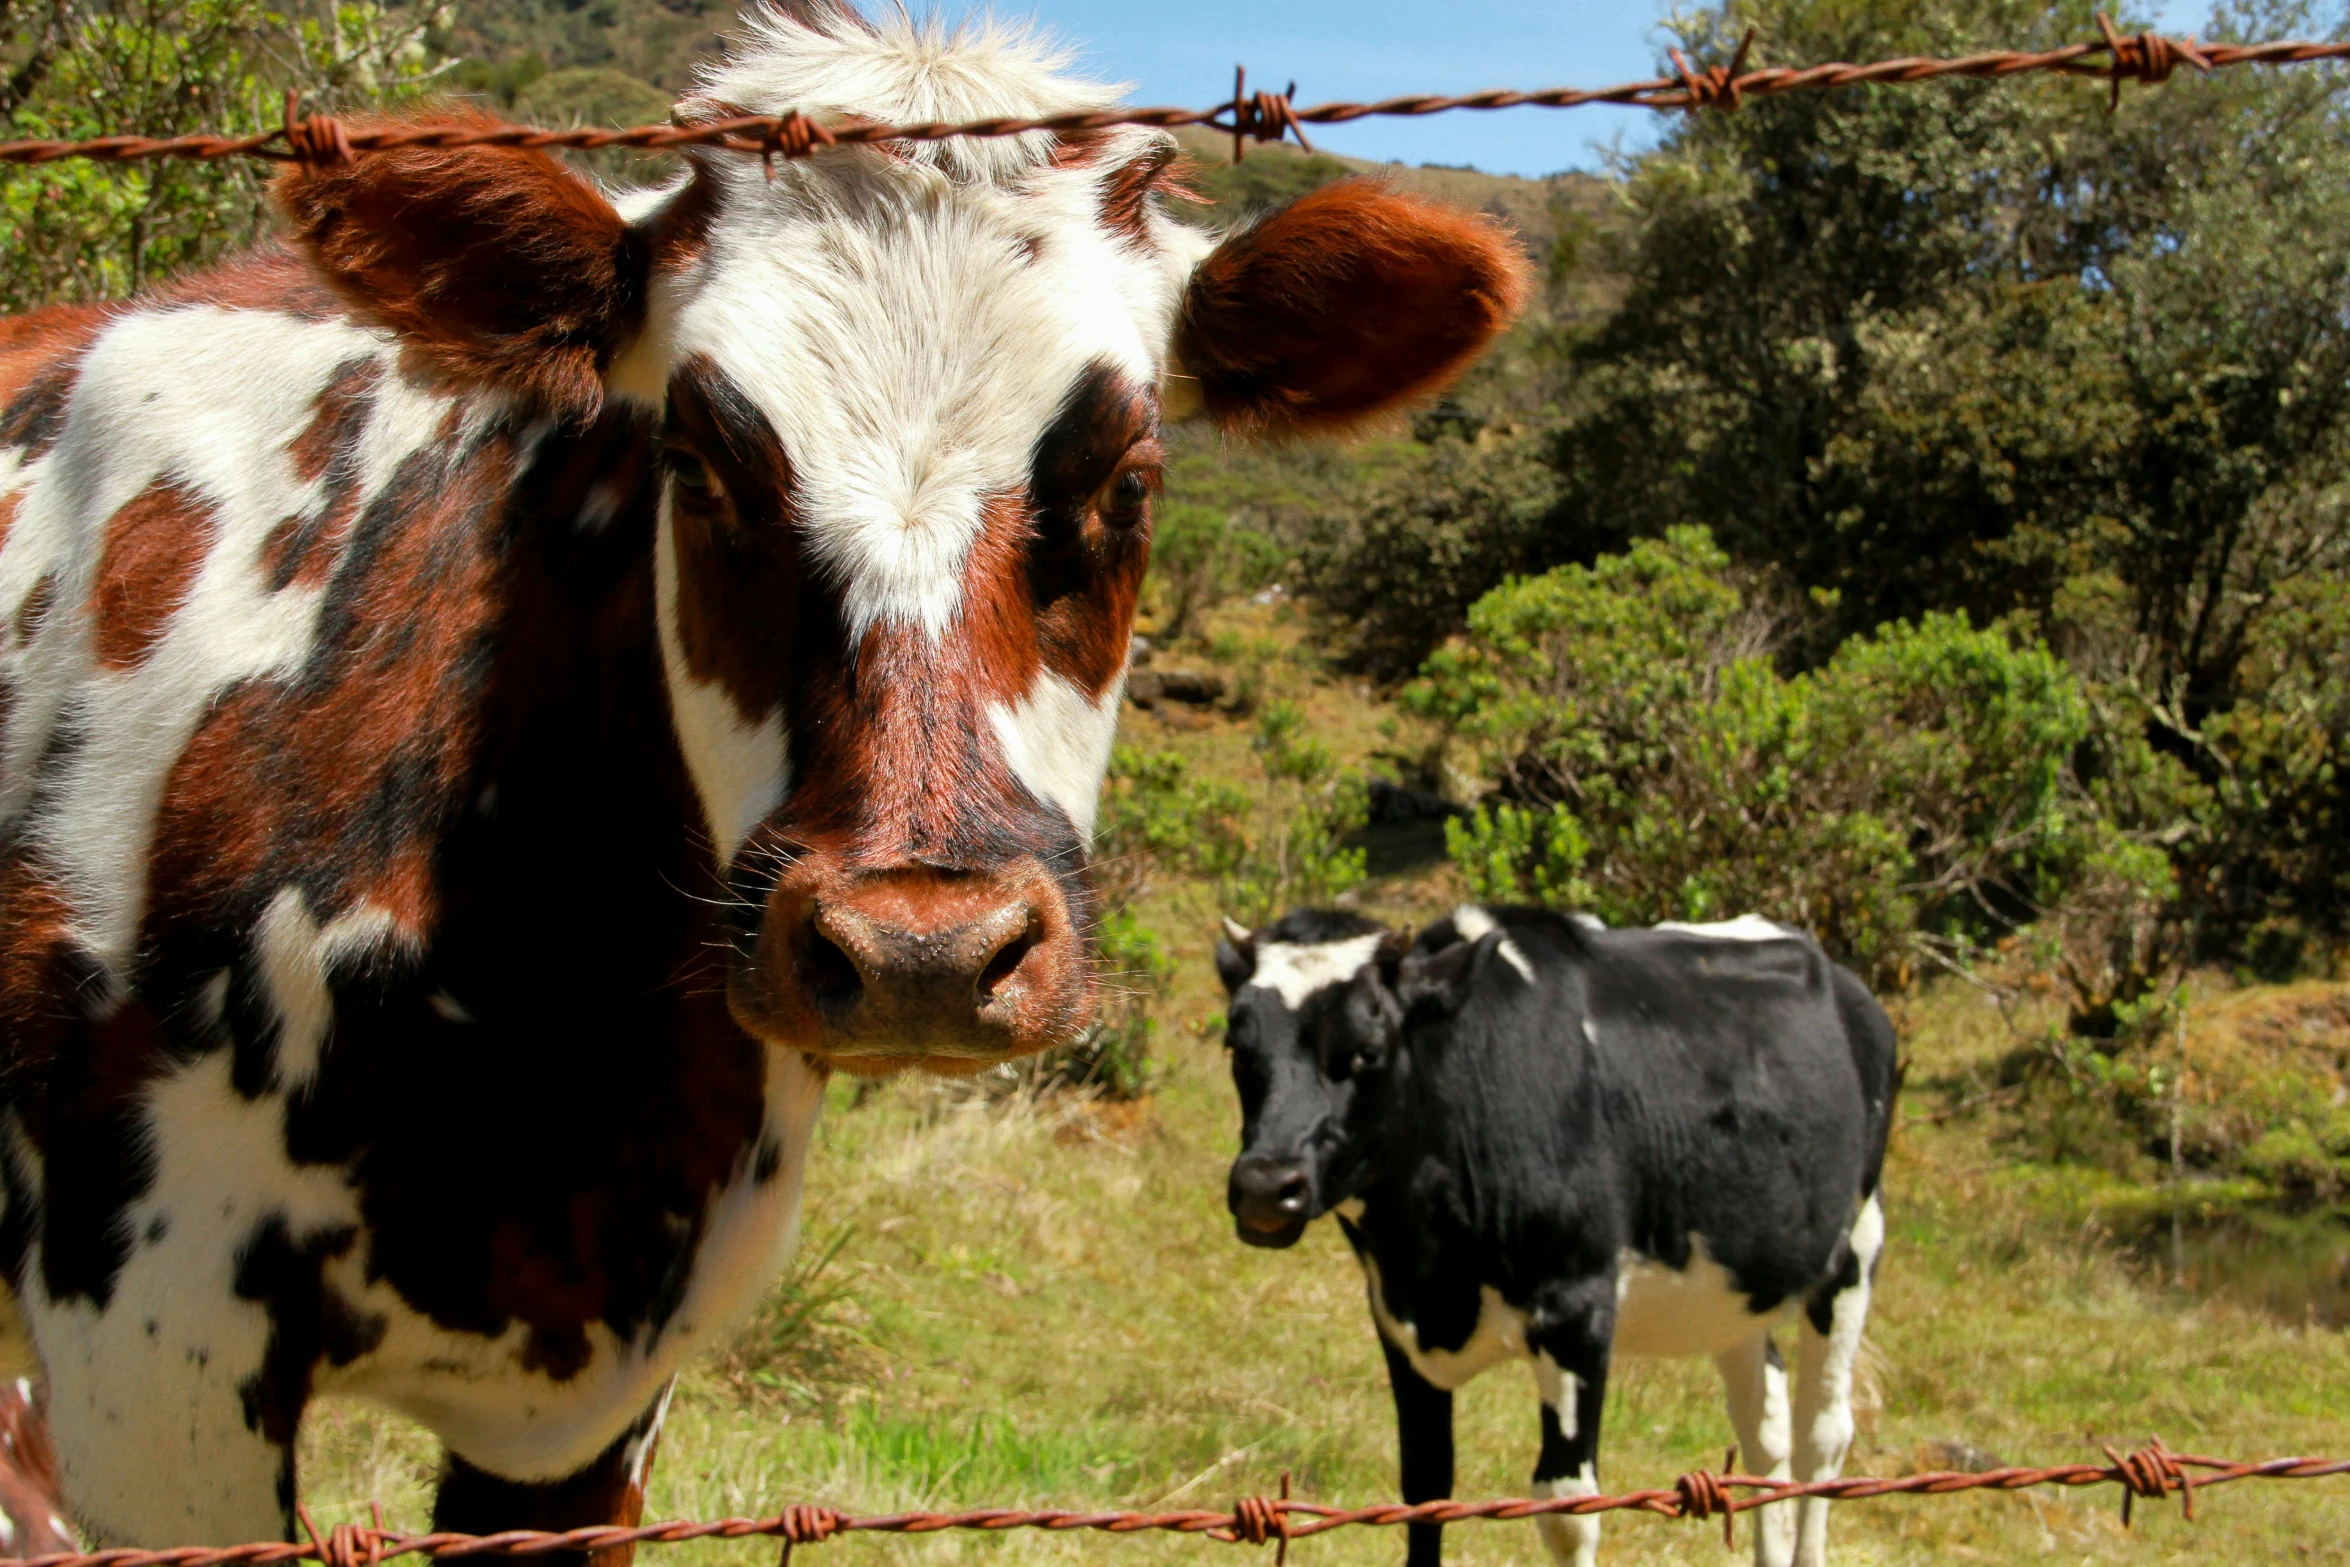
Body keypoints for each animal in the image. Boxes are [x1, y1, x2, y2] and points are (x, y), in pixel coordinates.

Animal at [1222, 906, 1898, 1567]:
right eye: (1237, 1047)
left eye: (1367, 1049)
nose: (1265, 1186)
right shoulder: (1397, 1323)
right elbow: (1426, 1491)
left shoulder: (1578, 1309)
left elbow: (1568, 1508)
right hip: (1734, 1285)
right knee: (1765, 1427)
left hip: (1855, 1247)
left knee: (1821, 1435)